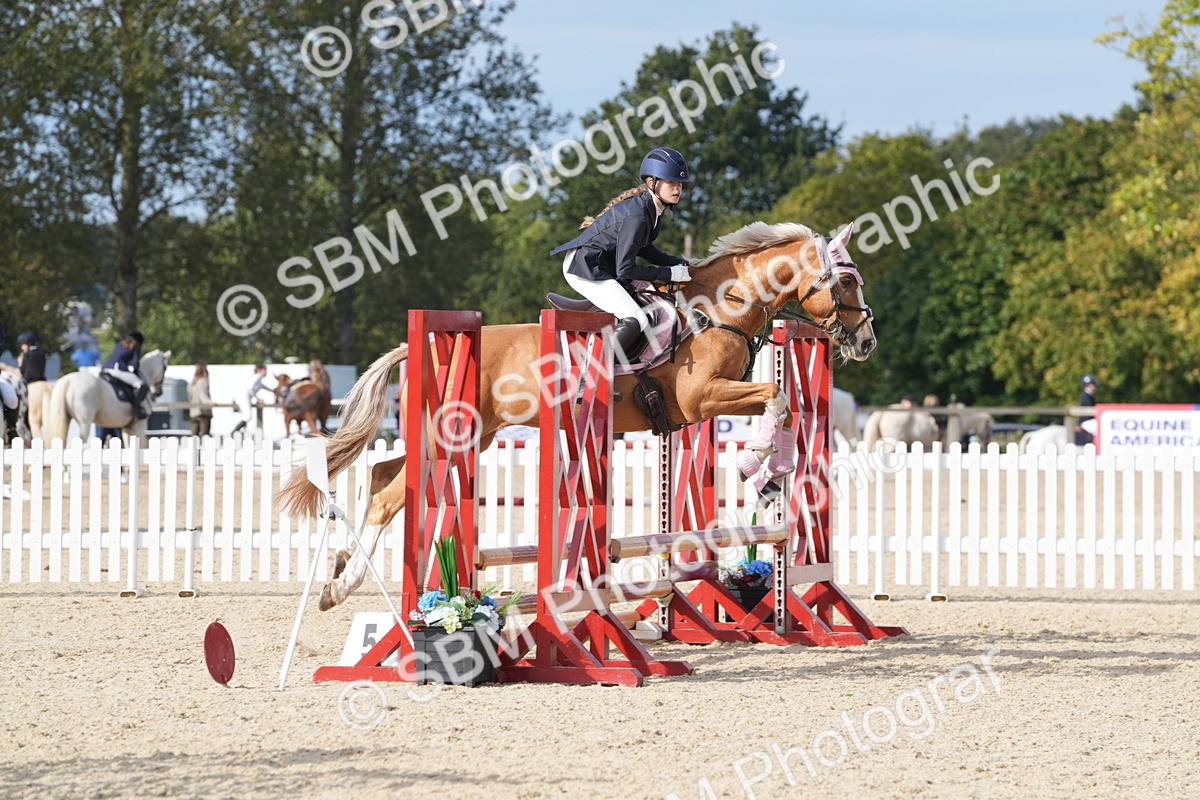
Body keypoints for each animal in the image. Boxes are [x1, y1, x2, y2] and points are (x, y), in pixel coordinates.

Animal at [276, 221, 877, 611]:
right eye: (848, 280)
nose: (867, 341)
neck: (720, 309)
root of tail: (420, 343)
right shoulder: (702, 398)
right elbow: (776, 400)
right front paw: (757, 464)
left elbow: (785, 407)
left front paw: (770, 479)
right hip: (447, 435)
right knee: (387, 492)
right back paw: (341, 588)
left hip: (474, 436)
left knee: (382, 474)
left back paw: (340, 572)